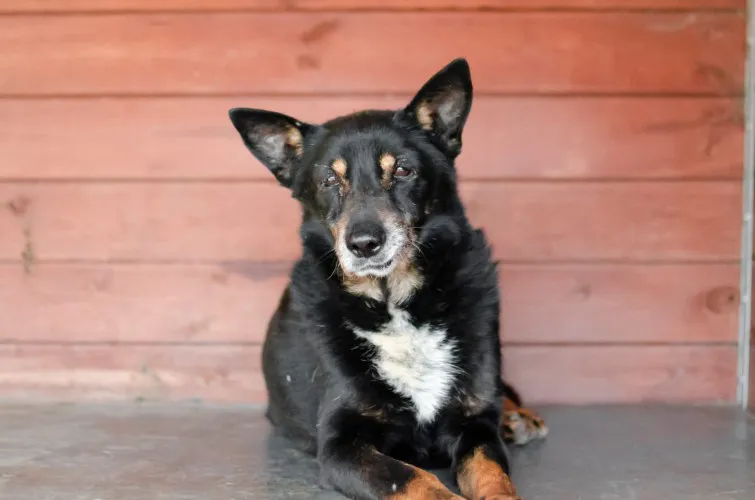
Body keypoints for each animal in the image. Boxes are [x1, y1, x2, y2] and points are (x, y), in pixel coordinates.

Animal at [227, 57, 548, 500]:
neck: (395, 302)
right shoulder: (341, 443)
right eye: (329, 180)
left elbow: (493, 476)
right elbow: (415, 479)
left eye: (403, 170)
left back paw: (518, 416)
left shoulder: (474, 426)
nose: (364, 244)